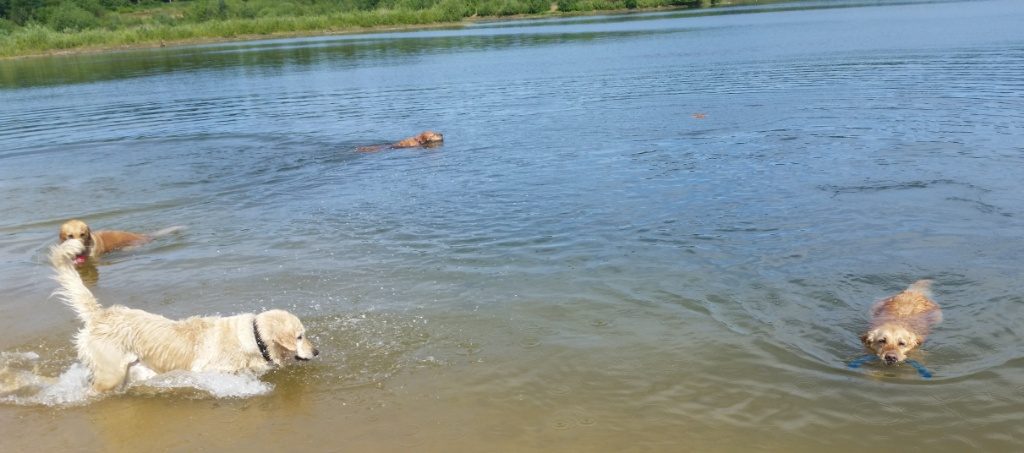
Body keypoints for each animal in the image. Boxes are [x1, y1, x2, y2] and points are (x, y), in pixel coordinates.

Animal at [50, 239, 318, 394]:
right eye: (300, 336)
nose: (316, 351)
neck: (255, 337)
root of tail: (101, 314)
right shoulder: (210, 370)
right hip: (110, 372)